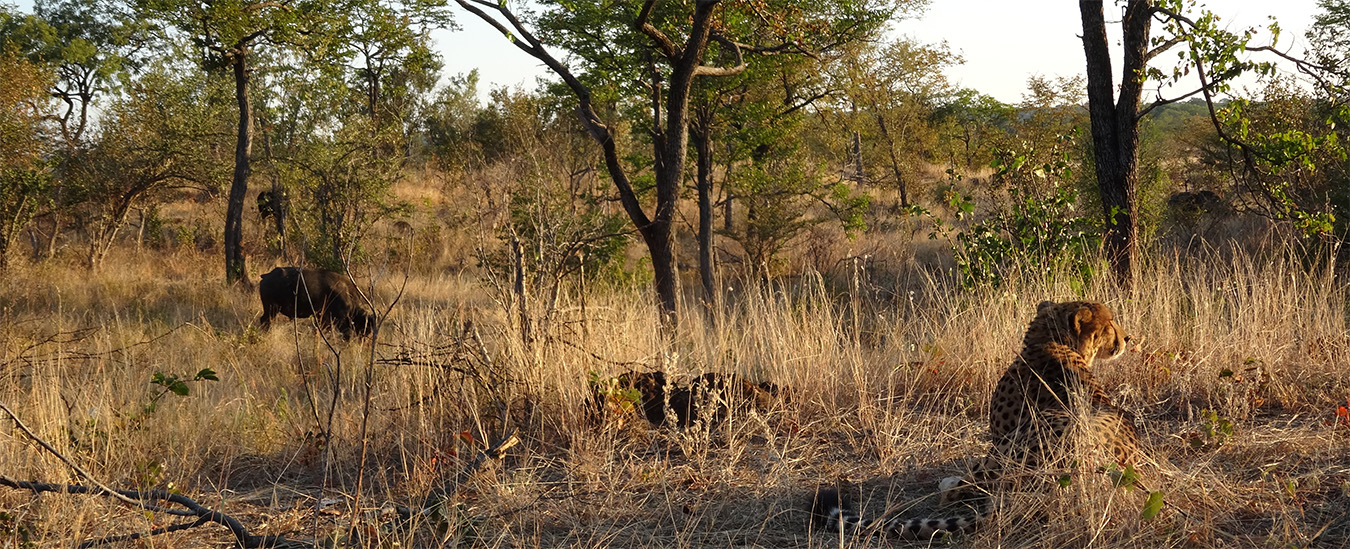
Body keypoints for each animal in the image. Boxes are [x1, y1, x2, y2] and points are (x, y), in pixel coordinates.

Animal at [810, 299, 1139, 539]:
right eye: (1110, 322)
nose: (1127, 338)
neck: (1050, 342)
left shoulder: (998, 445)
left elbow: (966, 480)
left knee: (960, 489)